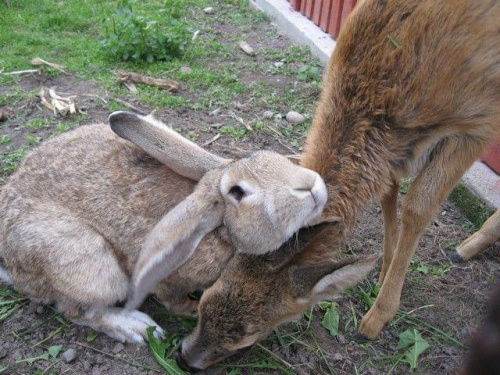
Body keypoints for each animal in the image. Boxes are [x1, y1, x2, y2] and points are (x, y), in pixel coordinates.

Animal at [175, 0, 496, 370]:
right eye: (206, 296)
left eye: (250, 333)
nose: (184, 358)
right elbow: (388, 192)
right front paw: (384, 270)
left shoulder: (477, 123)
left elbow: (418, 207)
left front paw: (377, 317)